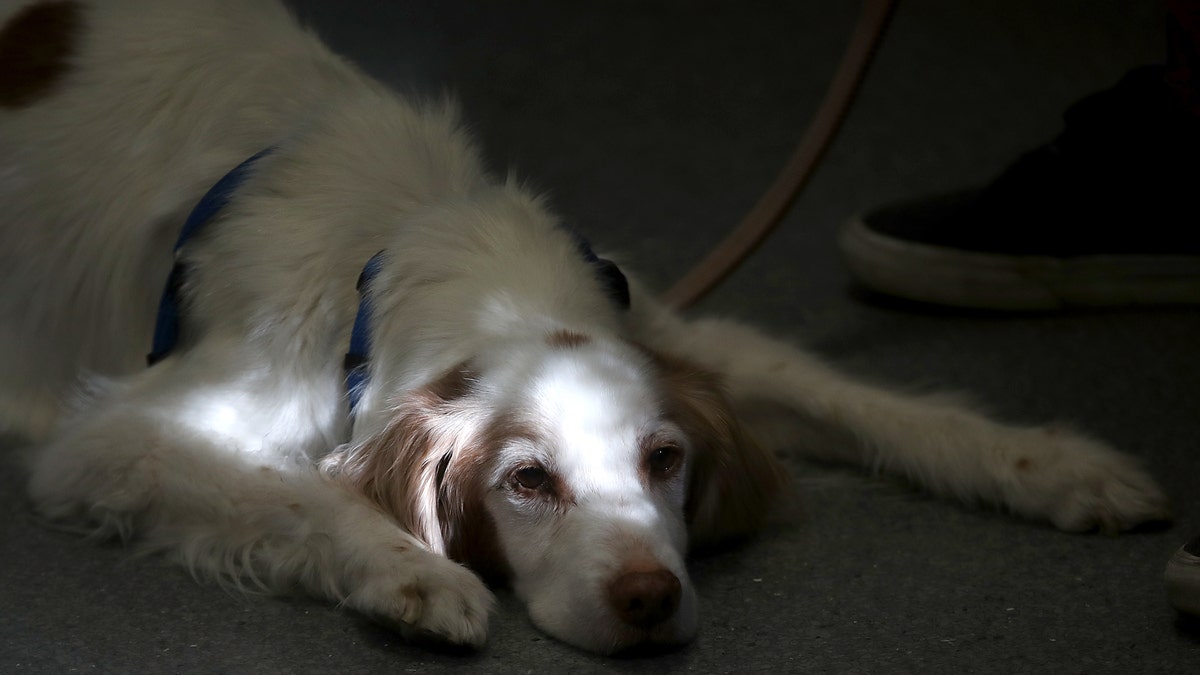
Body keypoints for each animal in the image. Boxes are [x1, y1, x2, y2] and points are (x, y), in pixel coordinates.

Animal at [0, 0, 1171, 653]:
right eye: (527, 481)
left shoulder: (675, 333)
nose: (649, 599)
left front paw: (1060, 467)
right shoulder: (117, 437)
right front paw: (413, 574)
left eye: (665, 460)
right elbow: (295, 493)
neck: (405, 243)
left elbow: (866, 400)